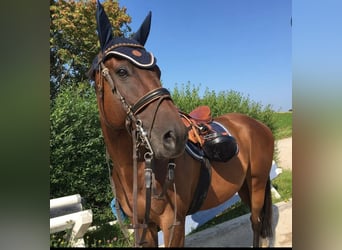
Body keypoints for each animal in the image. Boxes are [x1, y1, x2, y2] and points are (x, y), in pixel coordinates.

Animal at [89, 1, 274, 248]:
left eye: (157, 71)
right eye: (121, 71)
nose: (174, 135)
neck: (135, 172)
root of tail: (258, 125)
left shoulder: (173, 222)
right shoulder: (143, 227)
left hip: (257, 184)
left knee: (256, 222)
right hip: (243, 185)